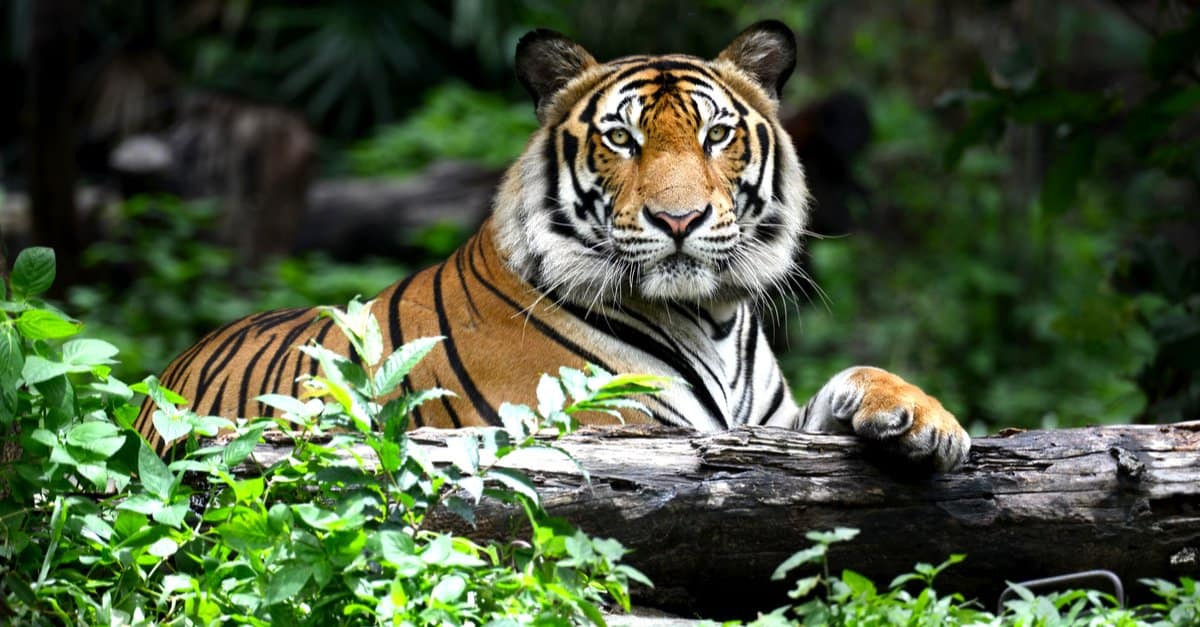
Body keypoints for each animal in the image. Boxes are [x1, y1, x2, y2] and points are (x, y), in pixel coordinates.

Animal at [136, 21, 970, 471]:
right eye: (622, 138)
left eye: (716, 135)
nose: (679, 219)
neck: (711, 317)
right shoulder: (614, 429)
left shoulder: (769, 425)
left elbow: (854, 378)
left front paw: (926, 420)